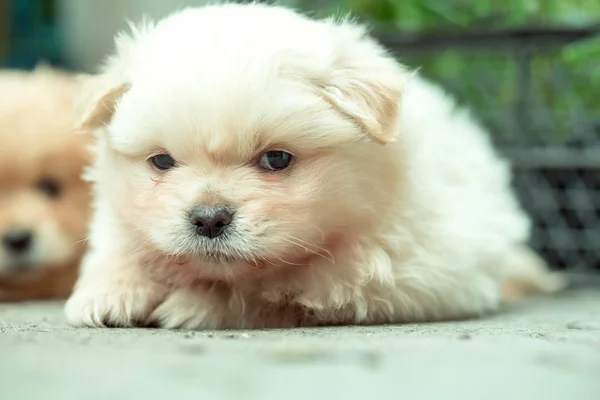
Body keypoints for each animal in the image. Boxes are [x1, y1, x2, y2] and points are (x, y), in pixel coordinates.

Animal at [65, 3, 564, 328]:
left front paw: (196, 306)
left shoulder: (416, 272)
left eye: (277, 159)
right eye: (162, 161)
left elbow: (278, 290)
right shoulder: (118, 214)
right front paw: (107, 294)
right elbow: (120, 248)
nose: (208, 219)